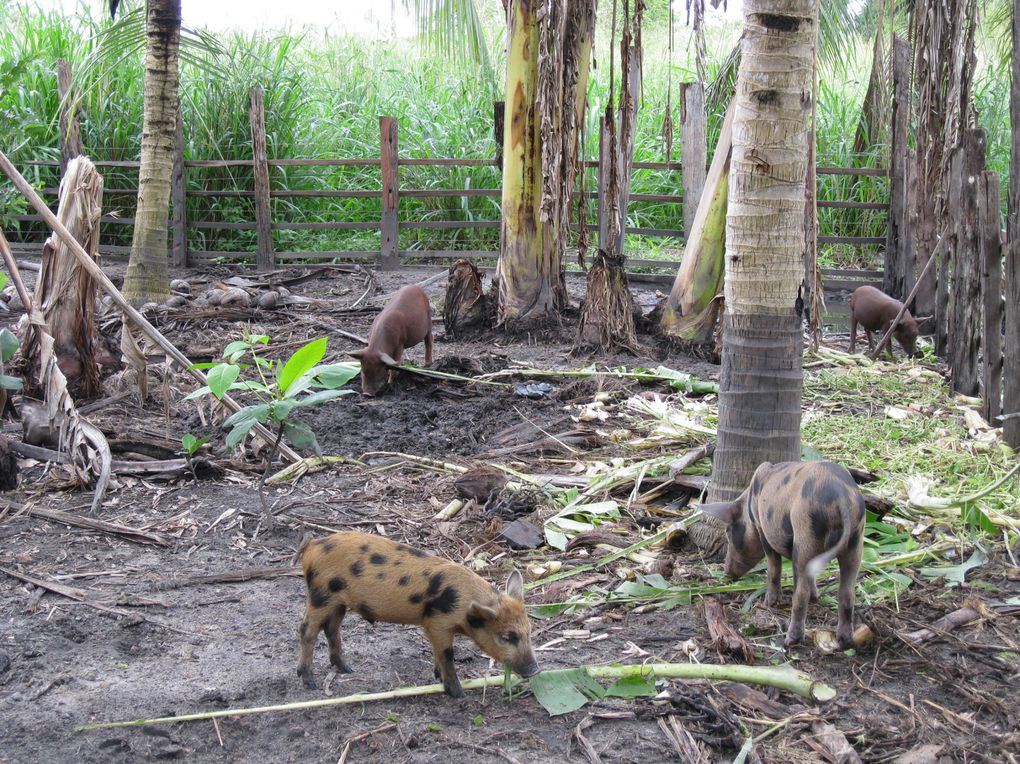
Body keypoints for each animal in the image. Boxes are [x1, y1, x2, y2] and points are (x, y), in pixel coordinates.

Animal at [297, 530, 542, 697]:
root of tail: (313, 545)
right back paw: (308, 681)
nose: (535, 670)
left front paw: (437, 676)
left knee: (331, 628)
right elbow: (447, 655)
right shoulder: (437, 622)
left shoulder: (433, 626)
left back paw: (347, 669)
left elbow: (437, 653)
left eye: (529, 631)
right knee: (307, 631)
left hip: (337, 602)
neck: (463, 604)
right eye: (507, 637)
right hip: (320, 595)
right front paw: (459, 694)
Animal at [701, 459, 860, 648]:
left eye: (728, 531)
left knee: (800, 593)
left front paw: (770, 602)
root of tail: (840, 496)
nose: (726, 572)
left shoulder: (762, 527)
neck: (748, 507)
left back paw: (790, 640)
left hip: (805, 536)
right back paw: (845, 641)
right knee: (847, 593)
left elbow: (773, 565)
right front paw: (816, 596)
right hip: (855, 541)